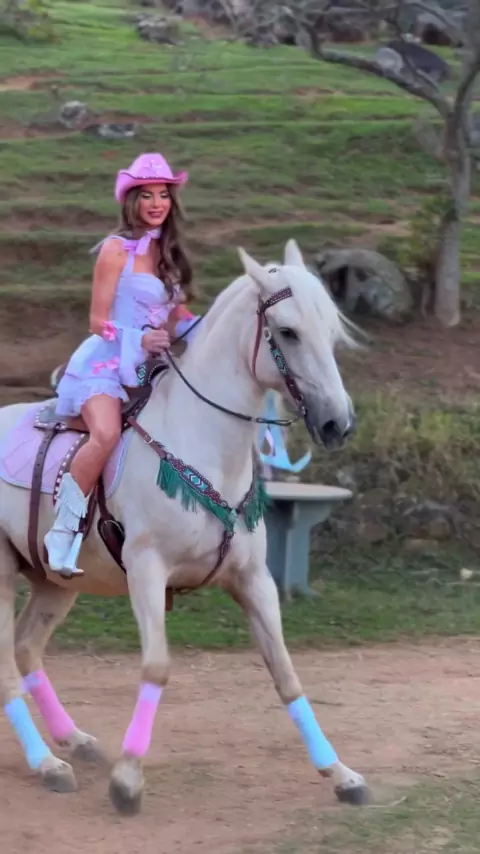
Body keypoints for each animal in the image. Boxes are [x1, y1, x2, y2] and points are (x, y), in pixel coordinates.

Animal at [0, 239, 371, 814]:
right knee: (7, 669)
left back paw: (74, 742)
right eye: (287, 331)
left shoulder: (253, 580)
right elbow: (156, 667)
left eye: (331, 332)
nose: (338, 424)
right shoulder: (147, 571)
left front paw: (341, 774)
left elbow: (286, 674)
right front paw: (128, 780)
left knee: (25, 649)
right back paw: (47, 763)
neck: (202, 441)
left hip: (54, 581)